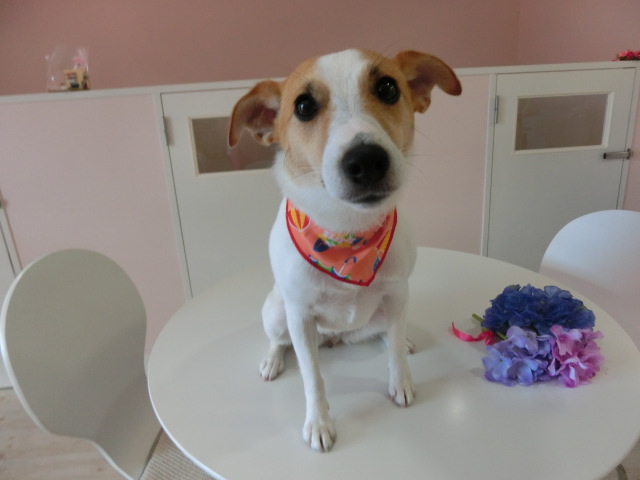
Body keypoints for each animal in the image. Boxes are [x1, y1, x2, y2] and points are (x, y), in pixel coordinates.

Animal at [228, 48, 461, 451]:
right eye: (303, 106)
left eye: (388, 87)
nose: (366, 160)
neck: (346, 232)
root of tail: (336, 336)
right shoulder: (300, 317)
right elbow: (313, 379)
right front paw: (319, 422)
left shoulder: (398, 292)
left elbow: (395, 351)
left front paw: (401, 380)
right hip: (276, 311)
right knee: (278, 340)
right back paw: (273, 360)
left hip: (385, 309)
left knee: (388, 332)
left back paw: (400, 339)